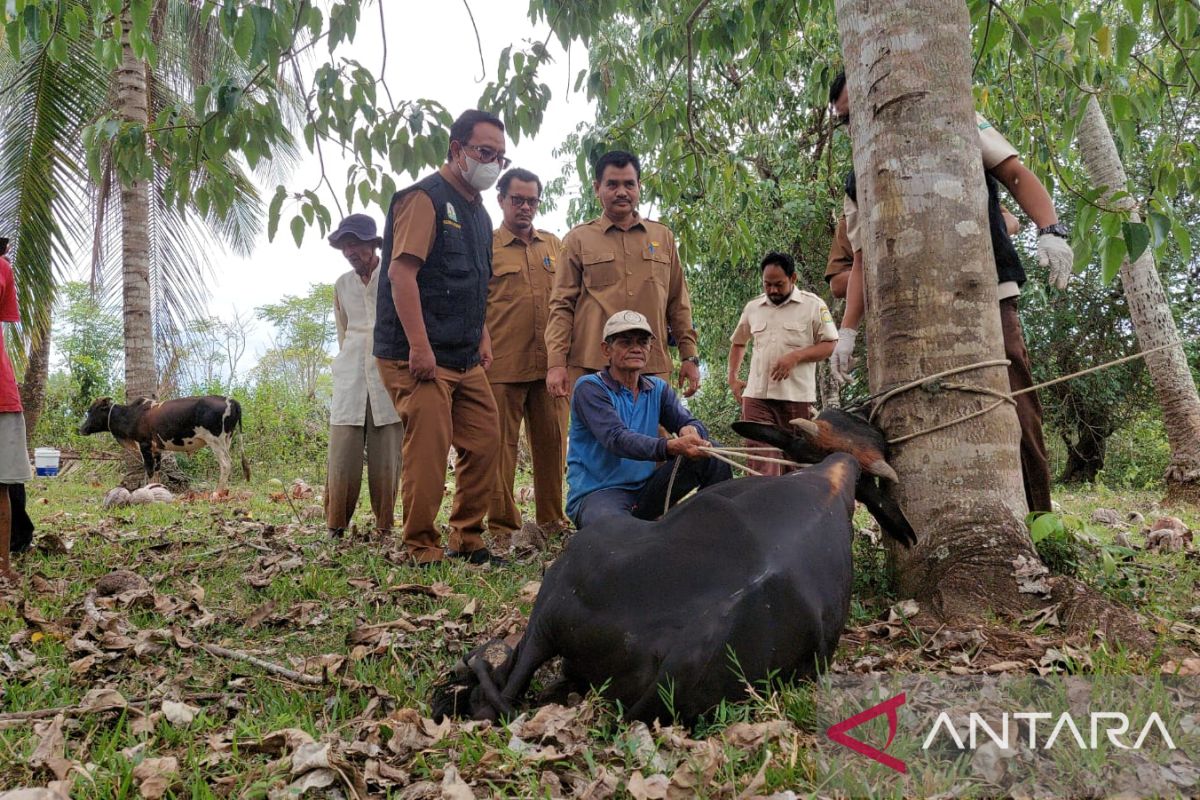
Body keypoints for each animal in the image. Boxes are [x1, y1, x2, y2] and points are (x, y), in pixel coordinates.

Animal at [78, 398, 249, 491]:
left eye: (93, 410)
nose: (82, 429)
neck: (131, 415)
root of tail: (231, 400)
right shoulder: (156, 448)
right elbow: (157, 471)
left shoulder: (144, 445)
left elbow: (149, 470)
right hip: (226, 440)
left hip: (216, 441)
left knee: (225, 464)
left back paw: (217, 492)